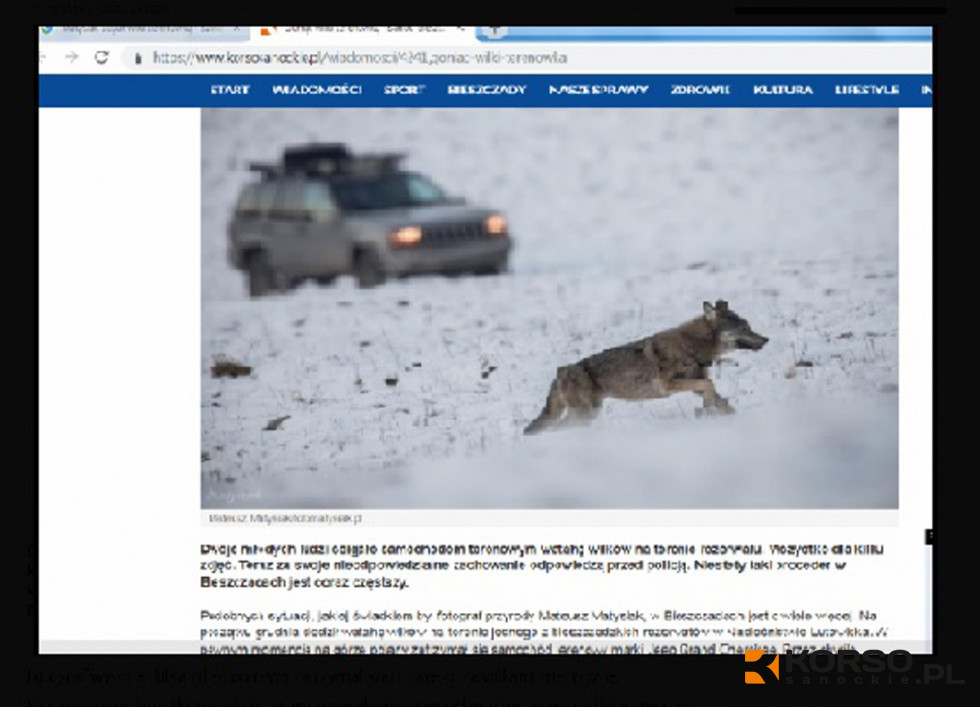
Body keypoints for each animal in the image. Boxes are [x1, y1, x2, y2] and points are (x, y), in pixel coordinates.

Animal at [524, 300, 768, 434]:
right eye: (744, 328)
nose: (766, 339)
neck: (691, 346)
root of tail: (560, 372)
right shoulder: (668, 385)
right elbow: (709, 384)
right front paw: (705, 410)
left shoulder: (694, 384)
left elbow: (719, 398)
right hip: (585, 415)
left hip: (587, 415)